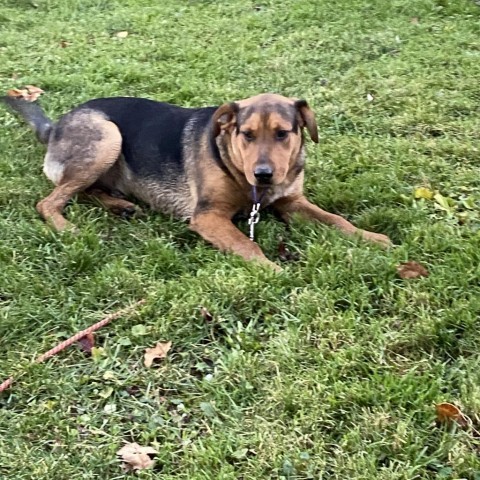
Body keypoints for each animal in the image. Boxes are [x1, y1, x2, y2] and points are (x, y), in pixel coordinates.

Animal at [3, 92, 392, 268]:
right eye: (247, 135)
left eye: (283, 134)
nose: (263, 174)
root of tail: (56, 126)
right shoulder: (208, 217)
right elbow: (247, 245)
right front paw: (272, 270)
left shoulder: (292, 202)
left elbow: (337, 220)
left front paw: (372, 238)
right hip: (107, 137)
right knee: (50, 199)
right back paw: (65, 226)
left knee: (84, 190)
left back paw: (120, 204)